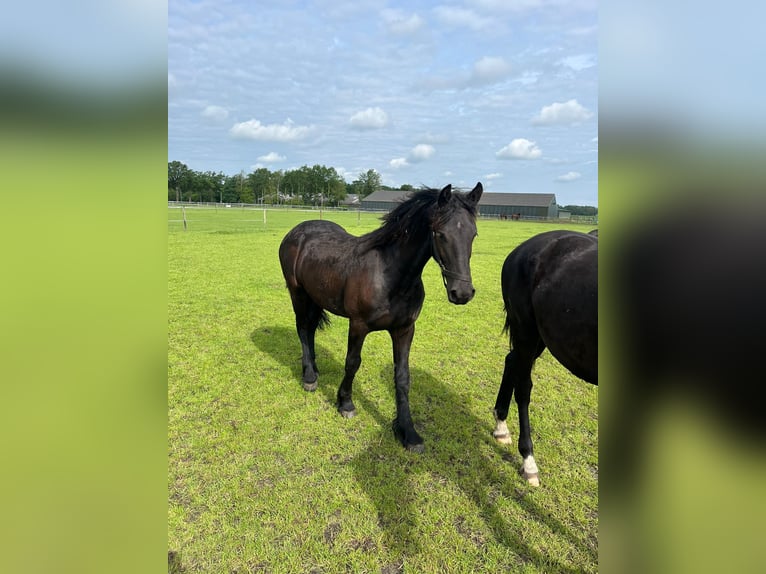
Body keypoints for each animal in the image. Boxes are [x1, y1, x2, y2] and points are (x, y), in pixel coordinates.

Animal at [279, 183, 483, 452]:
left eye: (473, 234)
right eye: (440, 234)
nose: (462, 293)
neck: (391, 276)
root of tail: (297, 232)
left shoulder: (405, 329)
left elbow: (403, 377)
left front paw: (407, 431)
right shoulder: (358, 325)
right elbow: (352, 363)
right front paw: (345, 404)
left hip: (315, 296)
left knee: (310, 329)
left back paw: (314, 369)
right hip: (298, 293)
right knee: (303, 328)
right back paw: (309, 377)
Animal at [491, 230, 598, 485]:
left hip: (539, 337)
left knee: (512, 361)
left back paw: (501, 427)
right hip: (527, 332)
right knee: (523, 387)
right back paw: (528, 460)